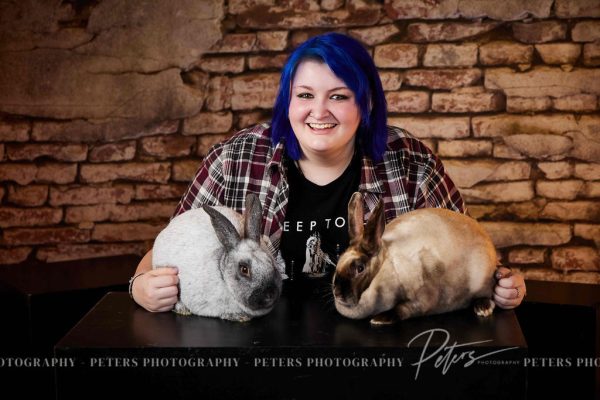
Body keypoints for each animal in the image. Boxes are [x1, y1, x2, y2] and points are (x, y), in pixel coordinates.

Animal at [150, 193, 282, 322]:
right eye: (244, 269)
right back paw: (183, 310)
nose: (270, 295)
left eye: (272, 264)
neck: (223, 275)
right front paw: (239, 317)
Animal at [332, 192, 496, 326]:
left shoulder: (423, 297)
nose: (337, 293)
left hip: (482, 280)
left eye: (360, 268)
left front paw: (380, 319)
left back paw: (483, 308)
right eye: (339, 262)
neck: (386, 267)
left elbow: (403, 308)